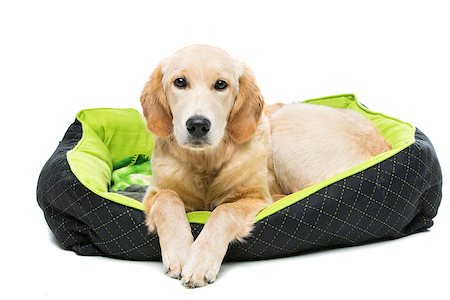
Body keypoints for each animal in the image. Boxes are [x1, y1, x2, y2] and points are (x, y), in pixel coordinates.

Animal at [141, 45, 390, 288]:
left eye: (221, 84)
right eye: (180, 82)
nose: (198, 125)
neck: (205, 162)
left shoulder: (255, 197)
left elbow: (225, 211)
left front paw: (200, 261)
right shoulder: (154, 192)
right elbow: (168, 198)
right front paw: (180, 251)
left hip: (284, 127)